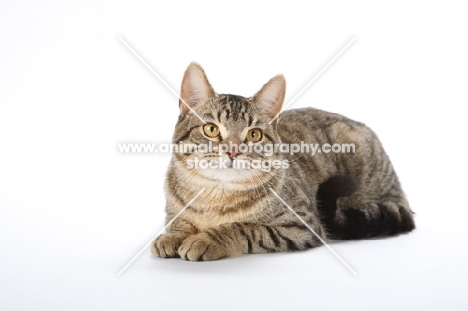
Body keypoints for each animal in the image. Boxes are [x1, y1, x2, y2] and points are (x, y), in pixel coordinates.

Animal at [150, 62, 414, 262]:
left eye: (254, 134)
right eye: (211, 129)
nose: (233, 151)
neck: (215, 197)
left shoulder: (301, 225)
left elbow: (243, 227)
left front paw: (208, 238)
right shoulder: (173, 211)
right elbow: (179, 222)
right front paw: (172, 236)